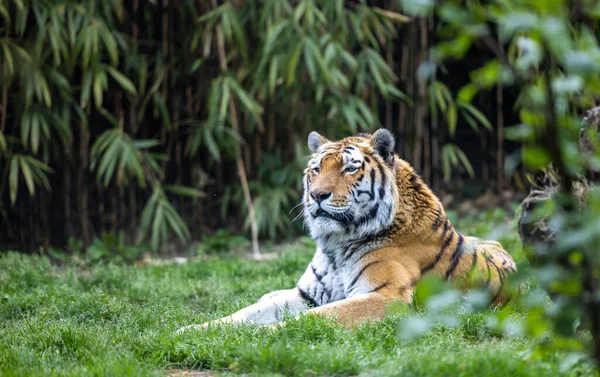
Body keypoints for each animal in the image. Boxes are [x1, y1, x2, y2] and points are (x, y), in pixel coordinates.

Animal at [177, 129, 516, 332]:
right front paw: (193, 330)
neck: (336, 245)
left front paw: (268, 333)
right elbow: (246, 313)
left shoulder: (386, 296)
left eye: (350, 168)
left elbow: (316, 317)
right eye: (316, 169)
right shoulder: (307, 293)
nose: (317, 195)